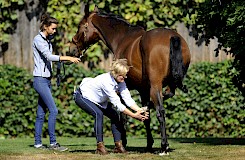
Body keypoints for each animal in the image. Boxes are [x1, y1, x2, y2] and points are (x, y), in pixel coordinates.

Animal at [68, 5, 191, 155]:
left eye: (80, 26)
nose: (72, 49)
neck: (122, 38)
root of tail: (173, 37)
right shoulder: (143, 90)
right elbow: (146, 119)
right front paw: (148, 144)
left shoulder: (123, 88)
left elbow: (123, 115)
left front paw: (123, 143)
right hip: (169, 85)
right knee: (167, 96)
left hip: (156, 86)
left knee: (160, 111)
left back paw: (164, 146)